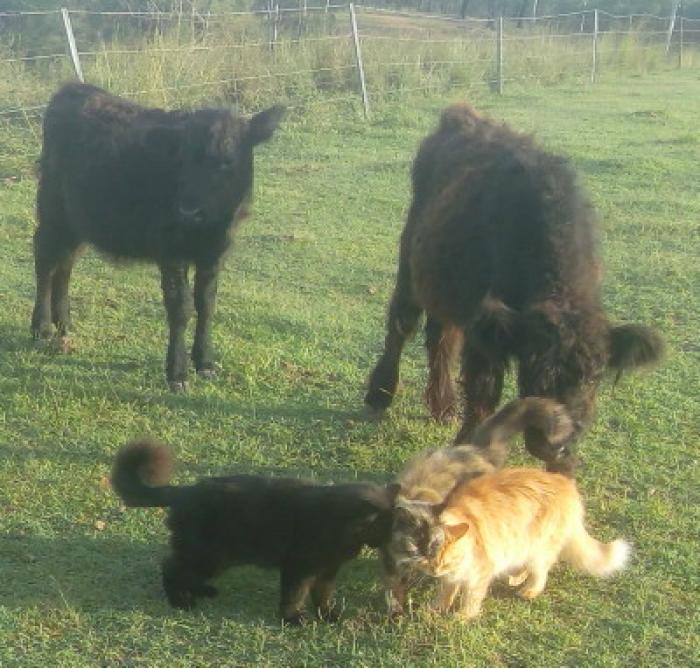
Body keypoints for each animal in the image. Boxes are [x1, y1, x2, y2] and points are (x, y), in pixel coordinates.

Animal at [30, 82, 282, 392]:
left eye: (227, 161)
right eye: (182, 159)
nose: (188, 209)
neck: (209, 227)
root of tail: (74, 88)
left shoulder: (215, 253)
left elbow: (206, 304)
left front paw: (206, 363)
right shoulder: (171, 250)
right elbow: (181, 307)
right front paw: (178, 374)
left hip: (78, 219)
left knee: (65, 263)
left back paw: (65, 323)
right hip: (53, 210)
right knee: (45, 259)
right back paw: (42, 328)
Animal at [111, 440, 396, 624]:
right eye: (387, 525)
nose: (388, 542)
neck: (339, 524)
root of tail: (185, 491)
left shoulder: (327, 570)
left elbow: (323, 594)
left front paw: (328, 615)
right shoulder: (299, 566)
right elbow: (294, 594)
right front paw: (293, 619)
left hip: (212, 557)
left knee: (182, 571)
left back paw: (204, 591)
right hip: (210, 555)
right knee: (171, 568)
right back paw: (181, 602)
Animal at [366, 103, 660, 470]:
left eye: (594, 377)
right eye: (534, 376)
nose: (555, 447)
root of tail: (460, 115)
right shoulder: (486, 333)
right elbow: (483, 393)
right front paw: (470, 452)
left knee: (441, 338)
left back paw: (443, 405)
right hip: (410, 259)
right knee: (401, 323)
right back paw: (379, 394)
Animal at [382, 396, 576, 616]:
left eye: (434, 543)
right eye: (420, 541)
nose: (429, 555)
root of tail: (478, 451)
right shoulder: (391, 561)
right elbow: (393, 586)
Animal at [412, 468, 632, 620]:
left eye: (445, 561)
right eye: (428, 559)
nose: (435, 571)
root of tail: (565, 484)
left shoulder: (479, 574)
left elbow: (471, 599)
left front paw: (462, 617)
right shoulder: (451, 577)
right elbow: (446, 592)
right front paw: (436, 608)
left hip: (537, 549)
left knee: (541, 573)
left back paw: (528, 591)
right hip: (522, 548)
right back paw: (515, 578)